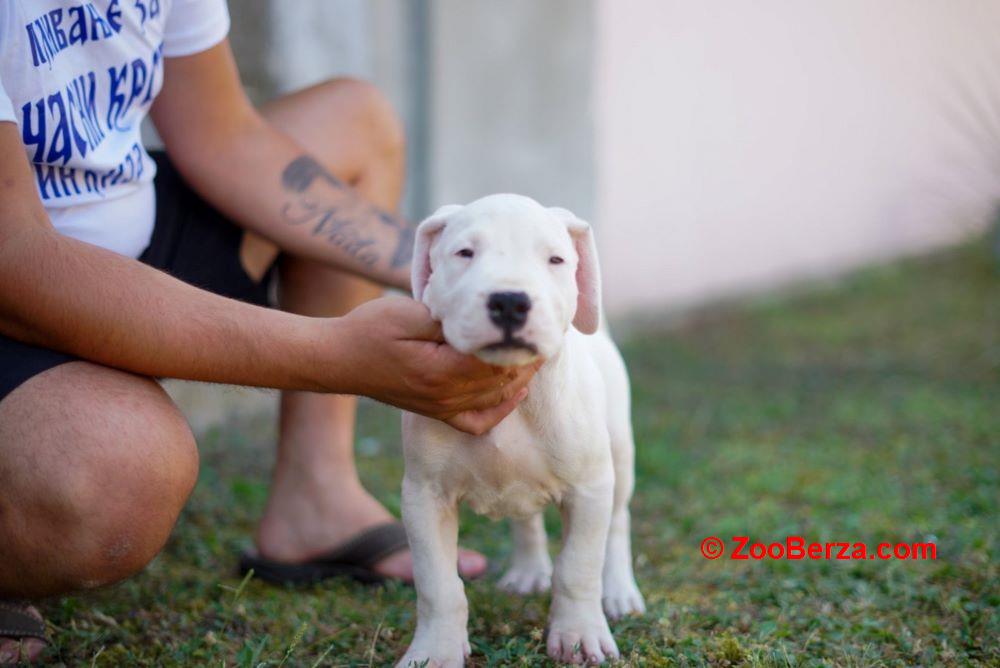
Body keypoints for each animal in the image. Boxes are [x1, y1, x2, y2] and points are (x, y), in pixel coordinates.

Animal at [396, 194, 640, 668]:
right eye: (464, 253)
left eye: (556, 260)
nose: (509, 301)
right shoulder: (424, 496)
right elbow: (438, 586)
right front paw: (434, 651)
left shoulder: (589, 488)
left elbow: (578, 567)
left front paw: (579, 636)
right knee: (526, 519)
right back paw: (528, 572)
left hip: (619, 454)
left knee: (619, 522)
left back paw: (620, 591)